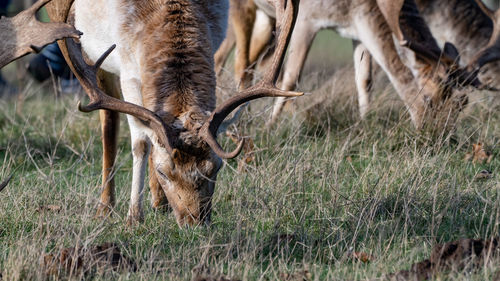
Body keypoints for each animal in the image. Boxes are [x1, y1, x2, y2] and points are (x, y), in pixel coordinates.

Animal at [47, 0, 302, 224]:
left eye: (216, 167)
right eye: (164, 173)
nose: (194, 221)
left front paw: (156, 204)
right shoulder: (129, 71)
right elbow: (140, 143)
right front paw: (133, 218)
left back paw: (159, 203)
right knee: (110, 120)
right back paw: (105, 207)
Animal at [216, 0, 488, 128]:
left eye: (461, 104)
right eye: (430, 99)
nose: (439, 135)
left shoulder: (357, 31)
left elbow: (365, 79)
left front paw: (364, 121)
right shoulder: (306, 19)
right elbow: (291, 77)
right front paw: (271, 127)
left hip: (268, 17)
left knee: (250, 61)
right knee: (239, 61)